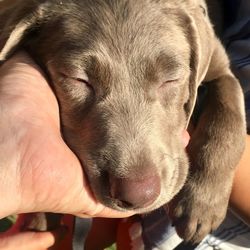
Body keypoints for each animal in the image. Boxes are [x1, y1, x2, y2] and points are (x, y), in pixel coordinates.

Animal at [0, 0, 246, 243]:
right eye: (79, 79)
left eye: (171, 79)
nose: (140, 195)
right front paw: (41, 216)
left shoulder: (221, 69)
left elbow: (228, 121)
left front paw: (201, 204)